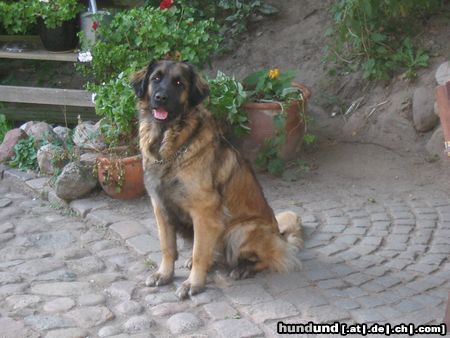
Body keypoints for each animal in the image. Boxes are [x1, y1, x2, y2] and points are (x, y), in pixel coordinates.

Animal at [132, 60, 304, 298]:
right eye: (155, 78)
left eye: (178, 83)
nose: (160, 97)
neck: (170, 147)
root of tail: (279, 235)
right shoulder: (160, 207)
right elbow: (167, 247)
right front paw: (164, 274)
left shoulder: (204, 211)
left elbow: (199, 253)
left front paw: (193, 283)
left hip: (239, 231)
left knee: (273, 258)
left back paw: (243, 269)